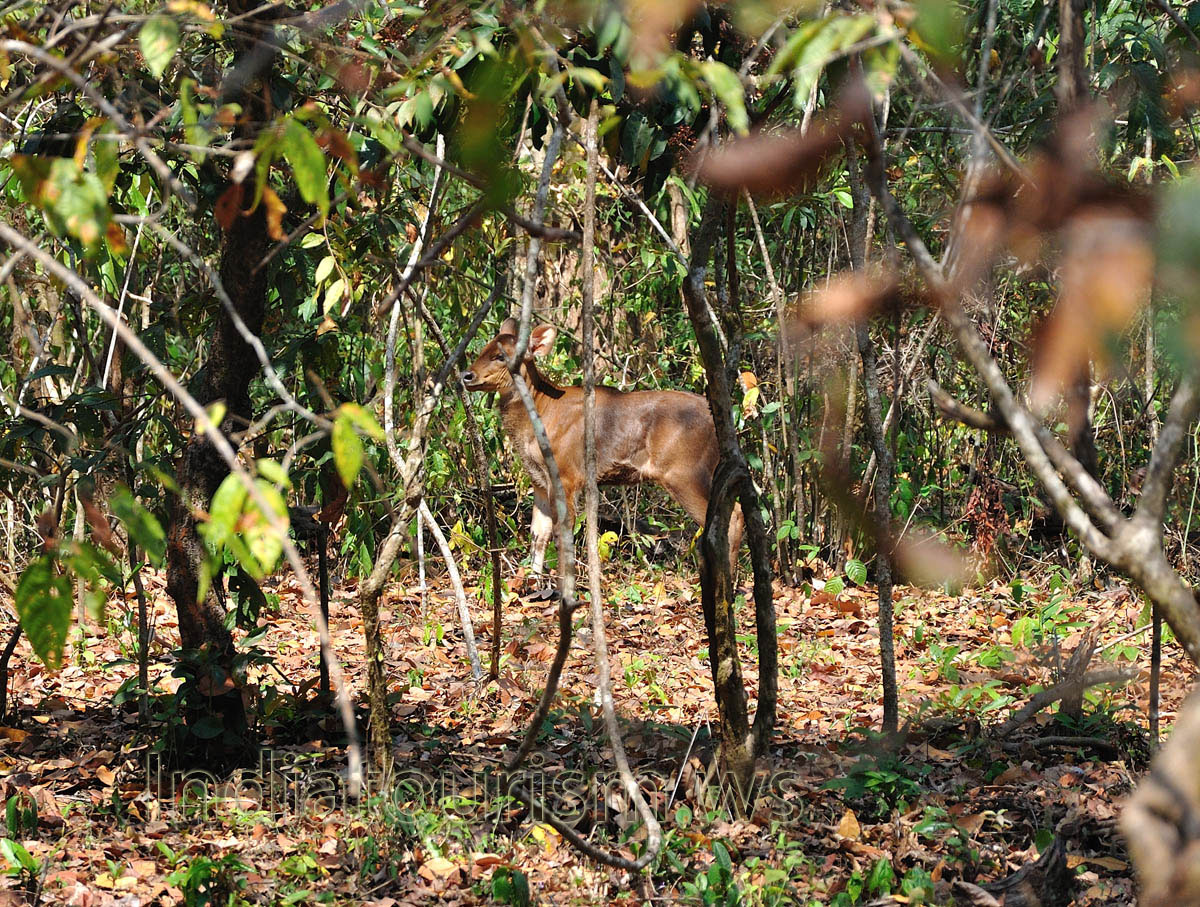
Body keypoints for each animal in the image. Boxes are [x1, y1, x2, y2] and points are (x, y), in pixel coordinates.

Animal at [460, 317, 743, 590]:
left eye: (500, 356)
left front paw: (563, 588)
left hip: (683, 470)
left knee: (730, 517)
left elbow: (562, 532)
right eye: (484, 349)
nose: (466, 375)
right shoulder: (539, 479)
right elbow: (538, 534)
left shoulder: (566, 473)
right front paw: (531, 585)